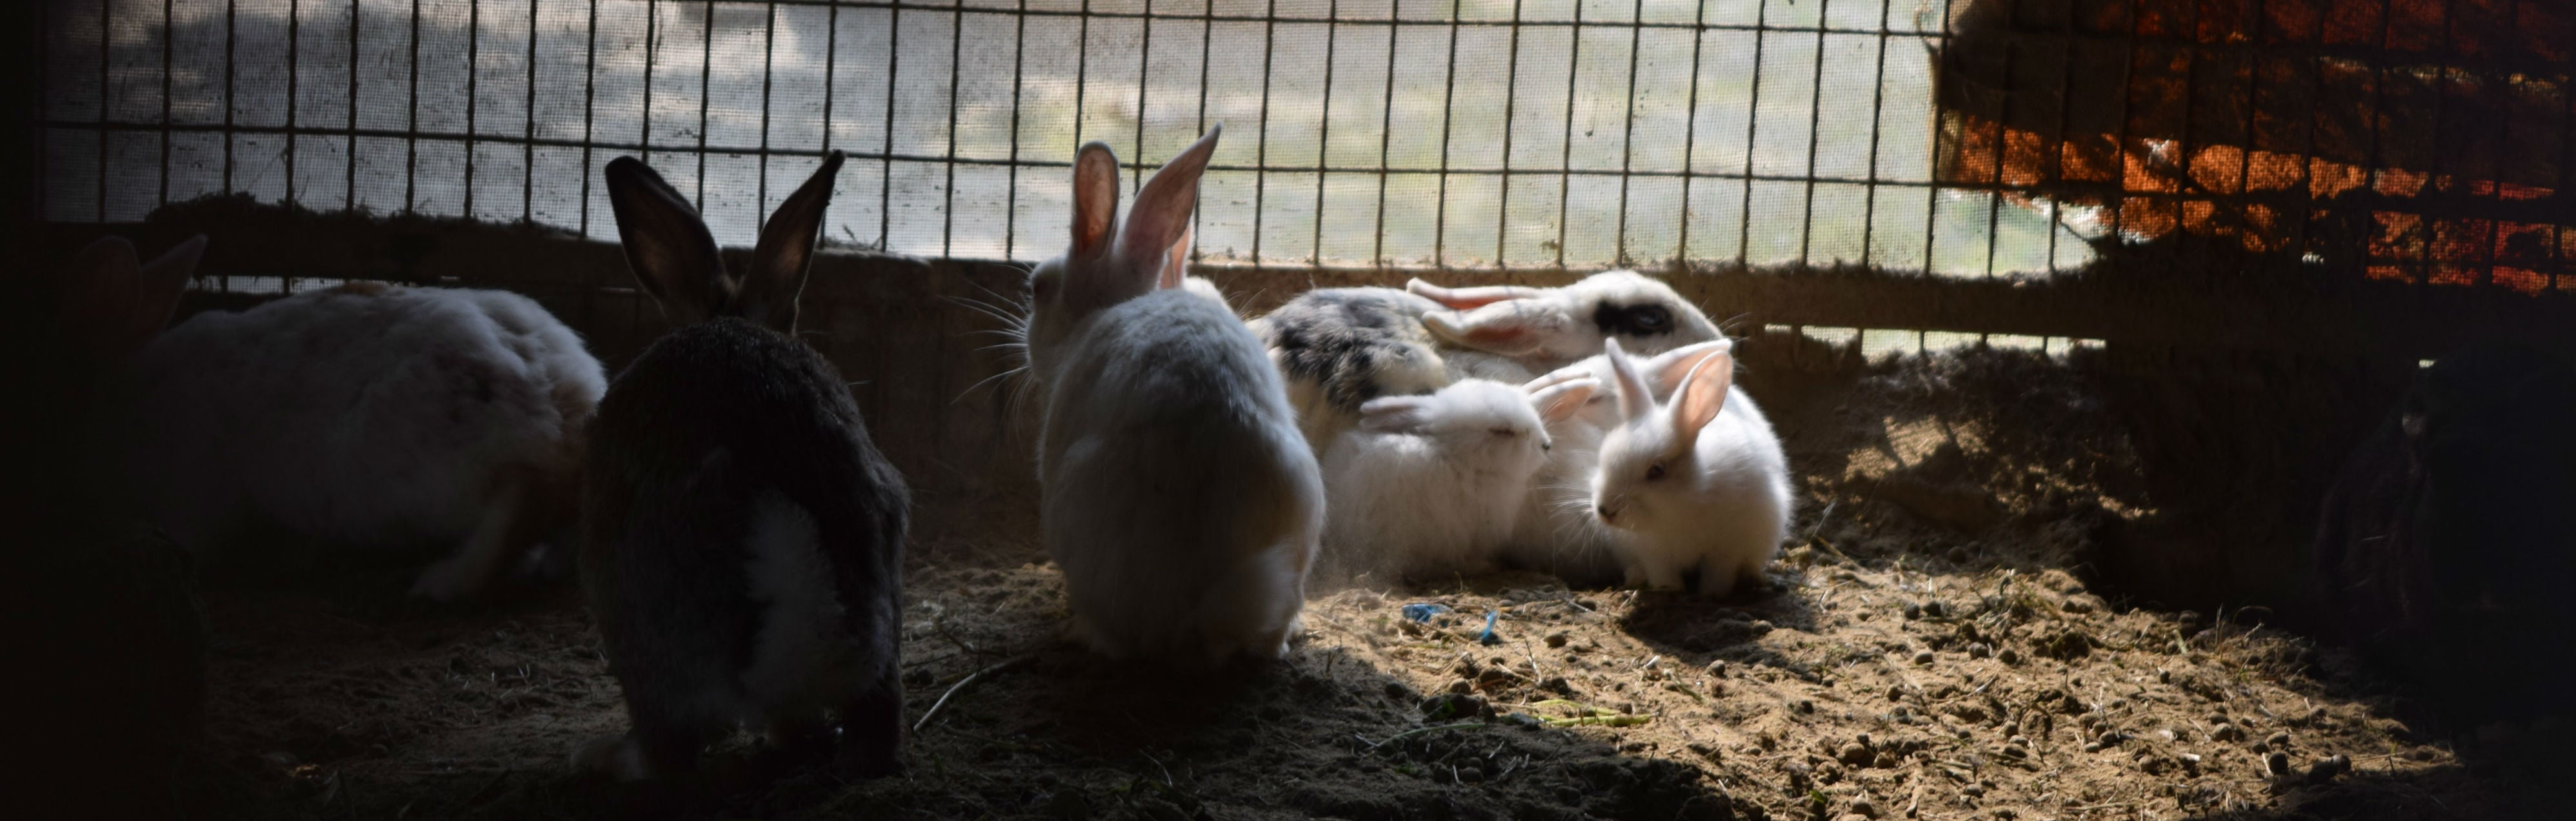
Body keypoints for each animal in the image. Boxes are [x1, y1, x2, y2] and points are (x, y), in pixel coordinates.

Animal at [1576, 337, 1782, 594]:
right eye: (1603, 457)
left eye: (1656, 470)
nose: (1605, 511)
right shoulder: (1653, 554)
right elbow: (1662, 574)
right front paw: (1669, 589)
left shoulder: (1726, 549)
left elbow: (1718, 574)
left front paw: (1711, 594)